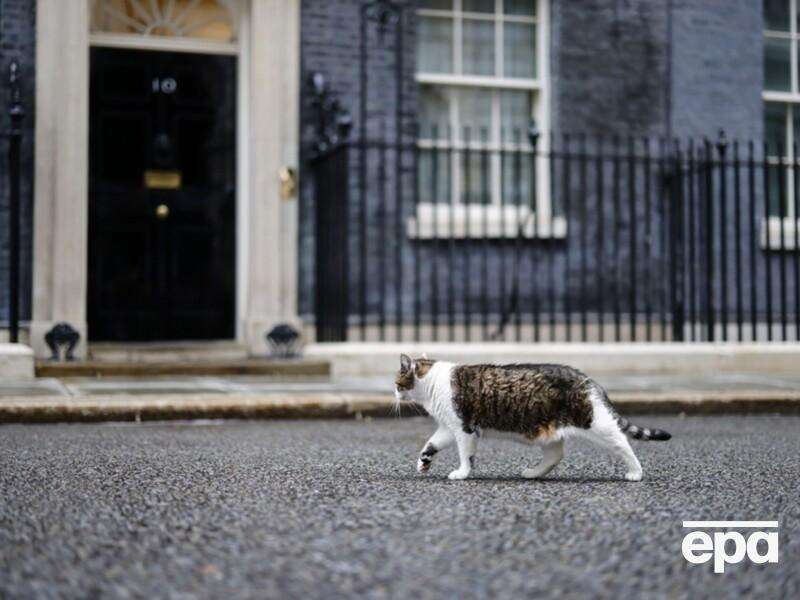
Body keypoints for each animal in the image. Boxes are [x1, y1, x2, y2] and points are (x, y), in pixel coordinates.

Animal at [394, 354, 668, 480]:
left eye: (397, 383)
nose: (394, 394)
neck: (432, 381)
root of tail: (587, 378)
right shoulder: (448, 427)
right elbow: (430, 444)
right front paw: (423, 462)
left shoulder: (464, 428)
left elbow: (466, 455)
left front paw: (461, 473)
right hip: (546, 430)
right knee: (556, 455)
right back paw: (534, 473)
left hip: (595, 423)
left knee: (622, 442)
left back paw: (635, 472)